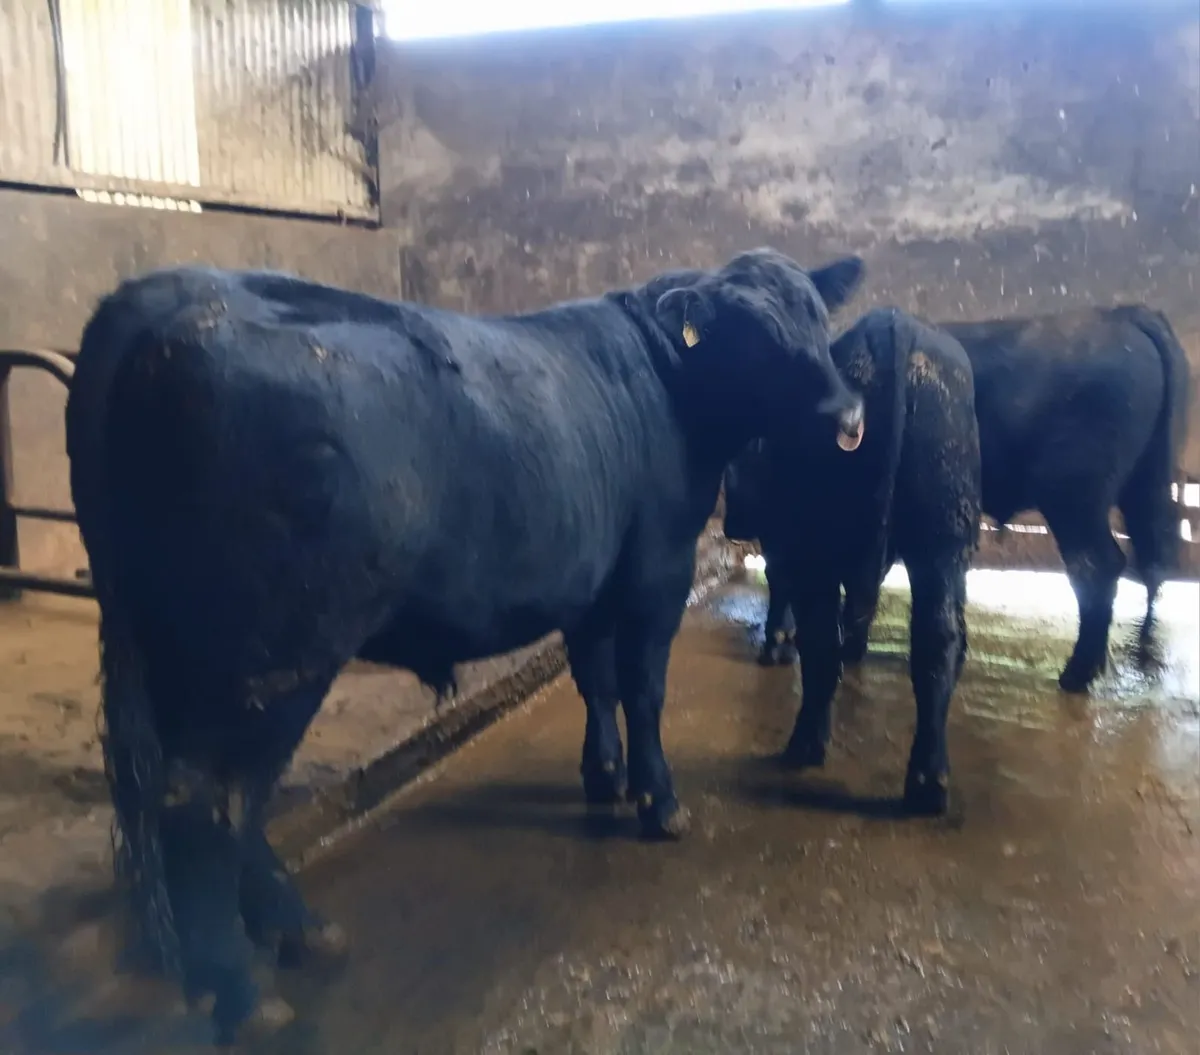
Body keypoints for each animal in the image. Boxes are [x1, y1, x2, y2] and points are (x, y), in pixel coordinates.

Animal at [65, 248, 865, 1044]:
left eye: (817, 318)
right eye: (754, 334)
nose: (848, 416)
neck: (669, 383)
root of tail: (164, 294)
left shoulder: (593, 577)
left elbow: (594, 678)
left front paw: (602, 775)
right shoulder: (656, 570)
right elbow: (642, 688)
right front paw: (658, 800)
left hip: (183, 649)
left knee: (214, 796)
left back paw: (295, 931)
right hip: (270, 650)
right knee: (210, 800)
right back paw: (243, 987)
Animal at [723, 308, 981, 816]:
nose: (731, 524)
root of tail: (894, 325)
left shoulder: (785, 543)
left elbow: (783, 593)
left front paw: (776, 645)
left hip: (824, 538)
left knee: (821, 641)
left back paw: (803, 747)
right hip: (943, 534)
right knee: (938, 639)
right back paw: (928, 783)